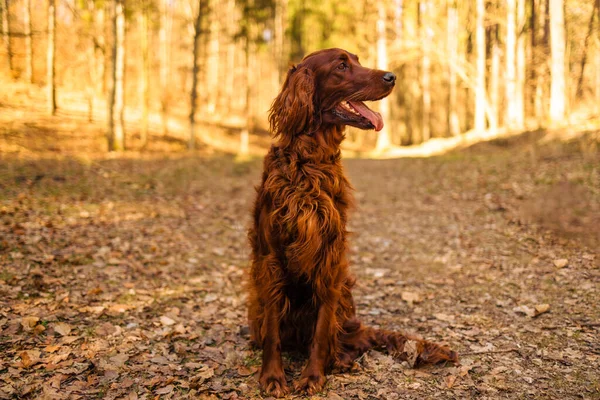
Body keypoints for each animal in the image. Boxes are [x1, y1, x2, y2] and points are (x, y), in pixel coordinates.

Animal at [246, 48, 458, 396]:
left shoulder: (330, 258)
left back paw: (341, 360)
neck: (310, 163)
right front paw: (273, 376)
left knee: (341, 338)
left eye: (357, 61)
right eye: (342, 66)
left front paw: (313, 376)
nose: (391, 76)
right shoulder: (270, 258)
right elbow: (273, 330)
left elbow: (322, 331)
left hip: (344, 295)